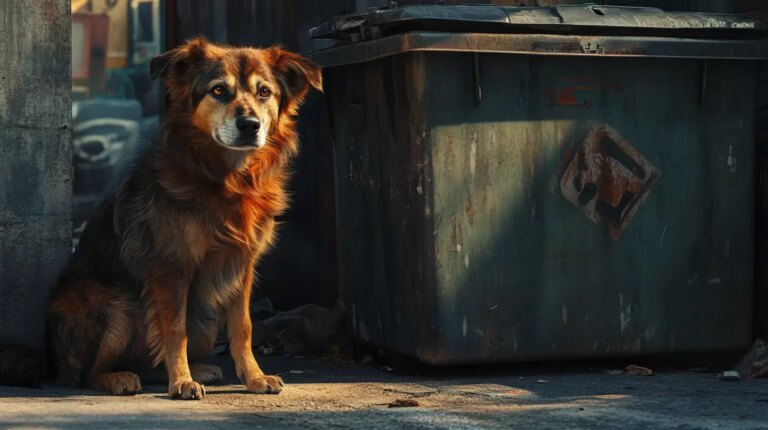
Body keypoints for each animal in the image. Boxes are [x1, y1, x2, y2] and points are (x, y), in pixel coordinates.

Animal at [0, 37, 320, 400]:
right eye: (218, 90)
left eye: (264, 92)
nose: (250, 125)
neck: (229, 179)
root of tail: (51, 358)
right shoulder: (170, 267)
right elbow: (174, 329)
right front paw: (181, 382)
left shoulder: (240, 265)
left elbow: (243, 326)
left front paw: (253, 378)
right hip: (116, 306)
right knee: (87, 373)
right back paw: (120, 378)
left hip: (205, 321)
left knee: (150, 362)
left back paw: (197, 369)